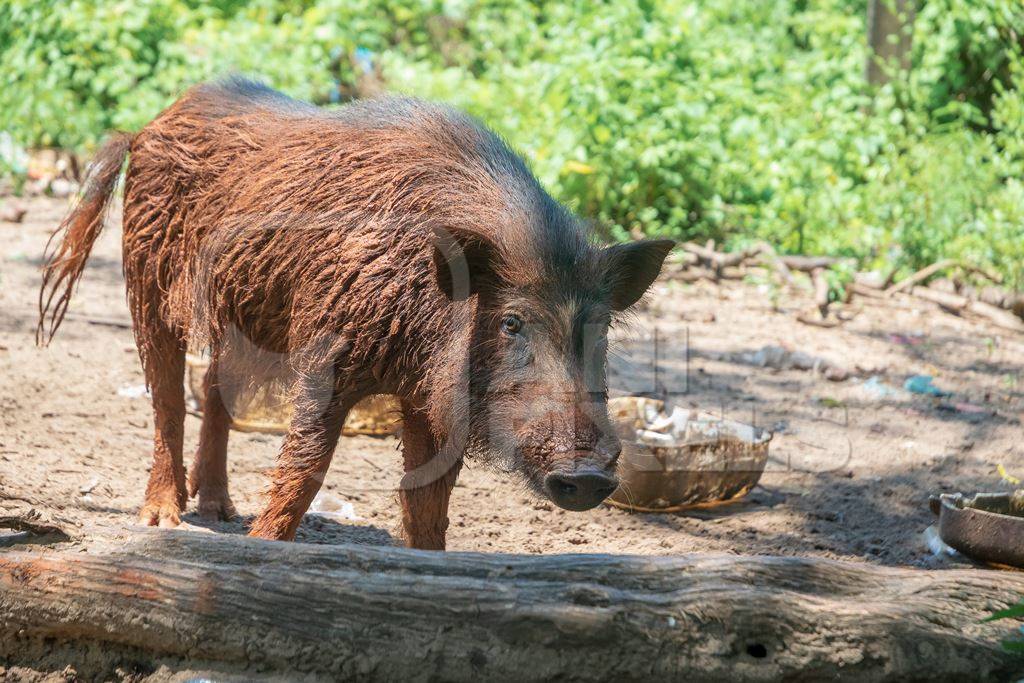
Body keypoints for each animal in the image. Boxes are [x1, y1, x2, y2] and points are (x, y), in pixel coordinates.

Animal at [39, 78, 675, 548]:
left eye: (600, 329)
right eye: (511, 321)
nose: (588, 474)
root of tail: (148, 125)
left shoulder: (426, 395)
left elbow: (429, 503)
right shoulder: (331, 351)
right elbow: (305, 469)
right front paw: (263, 548)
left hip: (243, 319)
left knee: (216, 391)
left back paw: (219, 511)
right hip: (147, 277)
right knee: (167, 399)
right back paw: (163, 520)